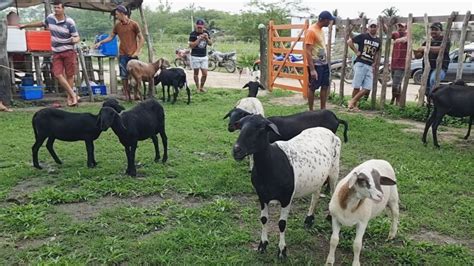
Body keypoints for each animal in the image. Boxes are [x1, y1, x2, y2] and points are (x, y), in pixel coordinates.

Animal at [232, 115, 340, 258]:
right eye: (241, 126)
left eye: (261, 128)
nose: (236, 150)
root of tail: (328, 131)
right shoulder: (261, 196)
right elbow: (264, 219)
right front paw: (262, 245)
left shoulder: (286, 197)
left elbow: (282, 224)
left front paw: (282, 251)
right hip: (318, 177)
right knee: (316, 195)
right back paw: (309, 219)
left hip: (334, 170)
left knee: (333, 192)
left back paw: (329, 217)